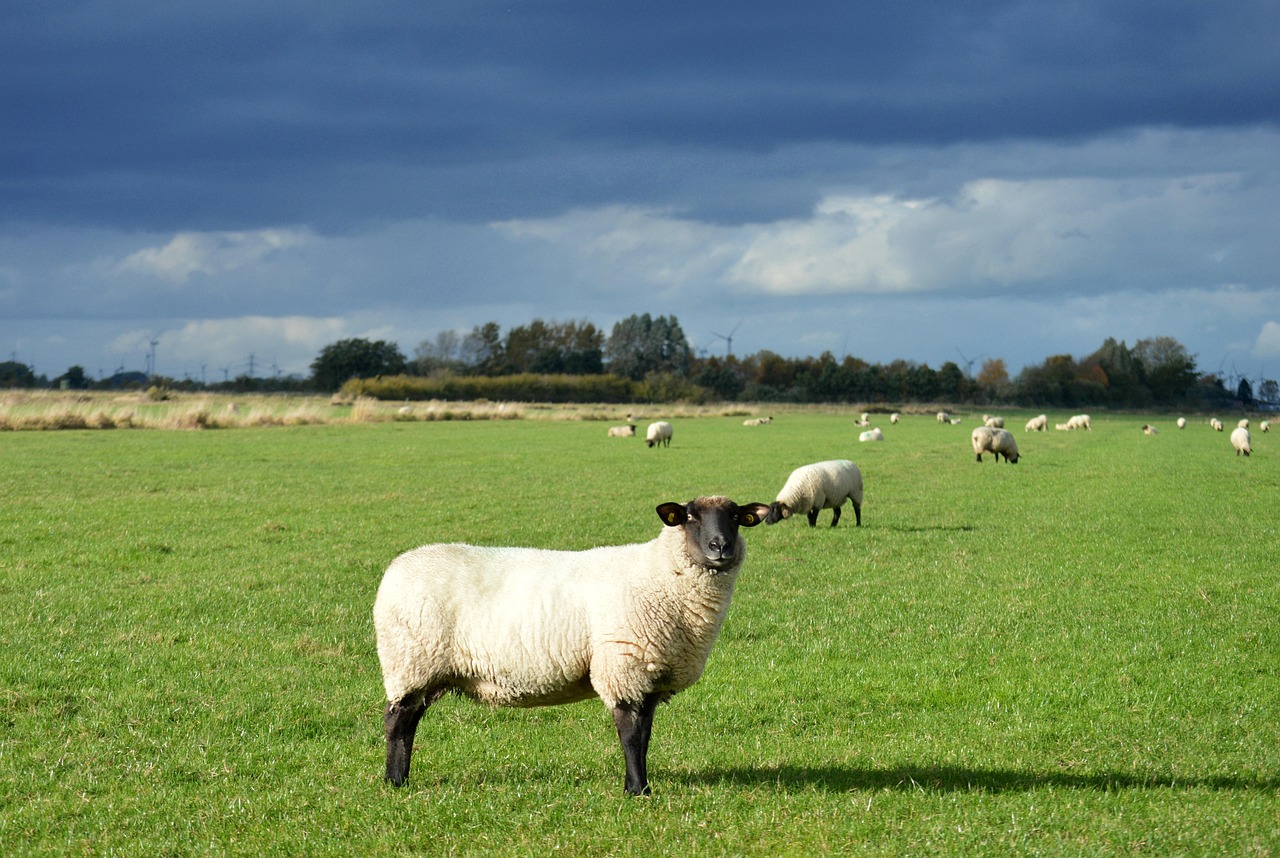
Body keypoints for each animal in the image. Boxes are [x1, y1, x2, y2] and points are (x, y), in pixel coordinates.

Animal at [374, 495, 772, 796]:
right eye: (689, 517)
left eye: (736, 517)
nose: (720, 546)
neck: (659, 574)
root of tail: (395, 568)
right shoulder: (623, 667)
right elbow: (631, 735)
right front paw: (637, 791)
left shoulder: (648, 677)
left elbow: (645, 735)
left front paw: (639, 785)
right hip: (409, 662)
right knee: (397, 722)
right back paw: (394, 782)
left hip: (427, 671)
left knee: (409, 720)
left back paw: (401, 778)